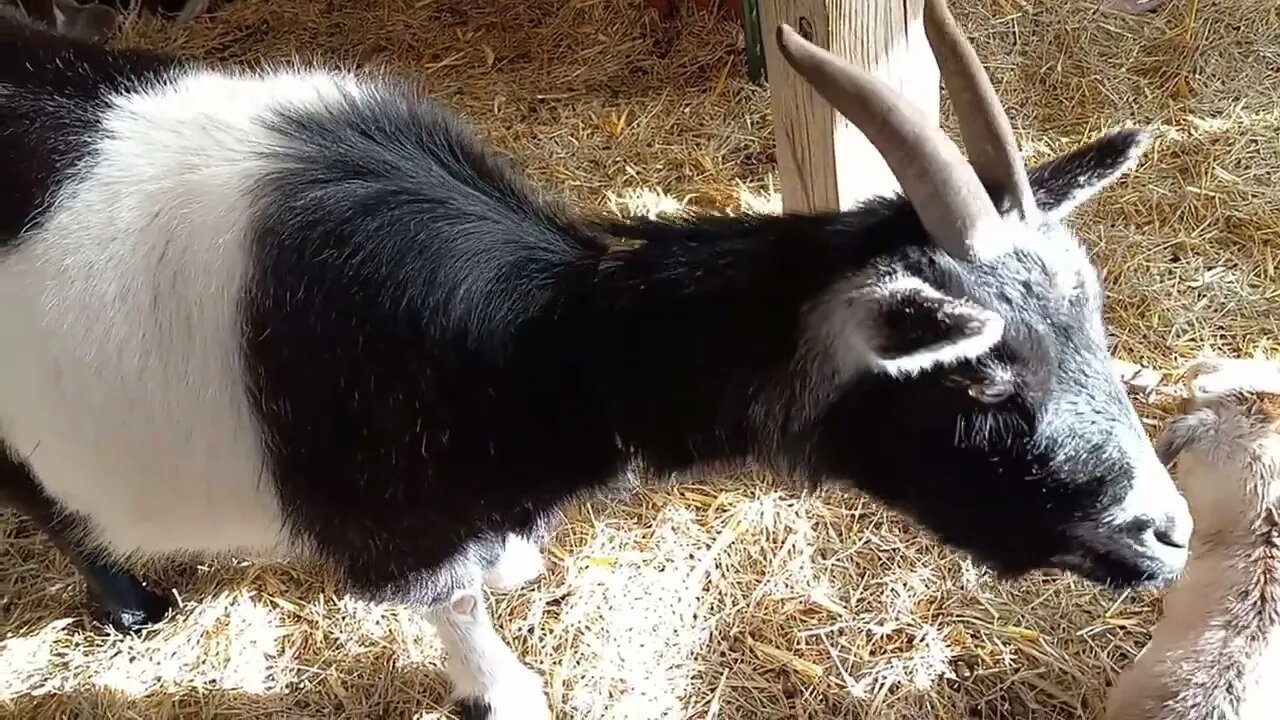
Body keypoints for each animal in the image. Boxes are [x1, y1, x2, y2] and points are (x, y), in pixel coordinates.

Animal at [0, 2, 1192, 712]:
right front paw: (503, 686)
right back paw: (129, 603)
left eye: (1091, 322)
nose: (1168, 532)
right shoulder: (397, 532)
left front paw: (518, 559)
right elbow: (456, 607)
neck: (540, 348)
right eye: (980, 374)